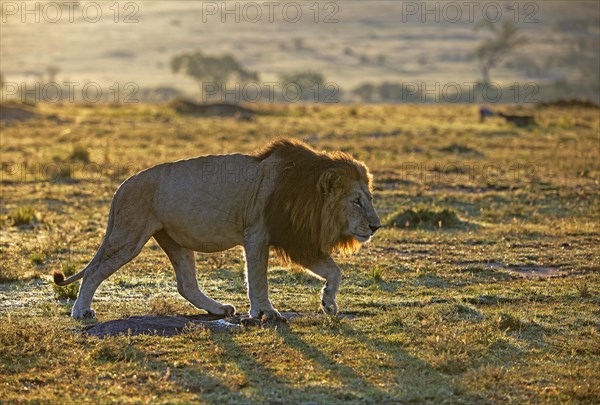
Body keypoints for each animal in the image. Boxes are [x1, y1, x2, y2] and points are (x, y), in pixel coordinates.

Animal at [52, 138, 380, 318]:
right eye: (356, 201)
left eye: (370, 198)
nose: (376, 226)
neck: (308, 193)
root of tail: (122, 186)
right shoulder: (257, 234)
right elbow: (258, 279)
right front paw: (266, 312)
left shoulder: (298, 238)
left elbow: (334, 271)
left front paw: (328, 303)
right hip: (128, 236)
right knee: (94, 271)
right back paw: (81, 311)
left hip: (174, 240)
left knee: (186, 284)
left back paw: (219, 309)